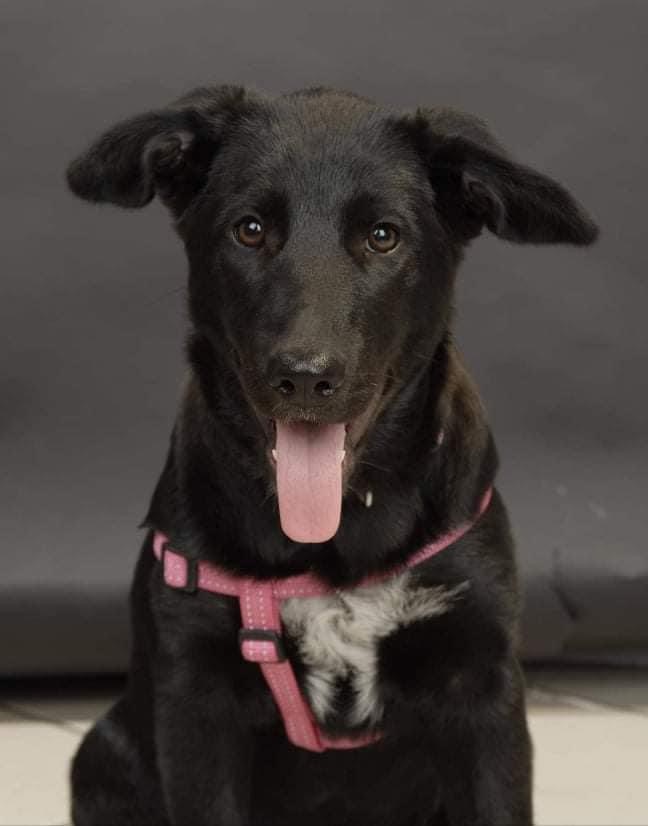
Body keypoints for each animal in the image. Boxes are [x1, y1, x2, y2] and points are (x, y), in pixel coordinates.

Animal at [66, 85, 597, 826]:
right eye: (250, 229)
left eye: (383, 235)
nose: (304, 377)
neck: (338, 540)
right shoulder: (195, 702)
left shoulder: (482, 685)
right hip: (101, 752)